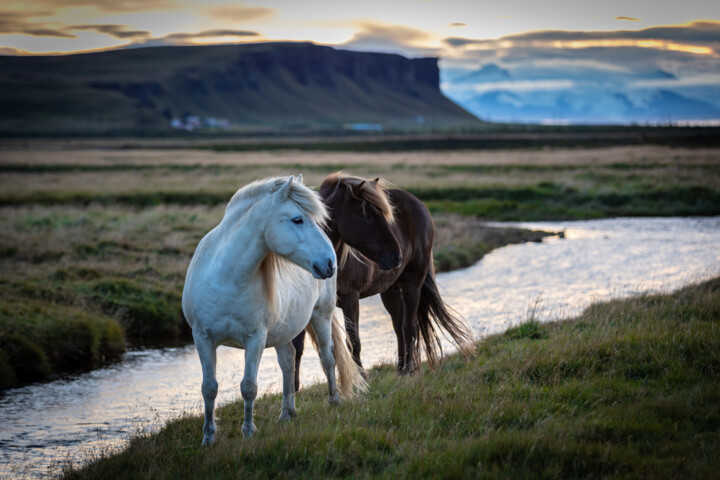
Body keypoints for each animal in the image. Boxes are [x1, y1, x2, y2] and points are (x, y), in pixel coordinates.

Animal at [183, 174, 368, 444]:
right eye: (297, 219)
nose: (329, 263)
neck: (225, 277)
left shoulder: (255, 339)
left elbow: (249, 386)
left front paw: (248, 432)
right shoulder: (202, 338)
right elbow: (209, 388)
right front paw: (208, 438)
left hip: (321, 316)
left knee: (327, 358)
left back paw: (334, 401)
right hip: (284, 331)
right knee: (288, 361)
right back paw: (287, 413)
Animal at [292, 173, 472, 390]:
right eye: (365, 214)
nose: (396, 256)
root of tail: (419, 204)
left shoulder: (350, 299)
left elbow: (354, 341)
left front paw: (362, 380)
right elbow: (298, 347)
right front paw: (293, 389)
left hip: (414, 281)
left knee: (409, 326)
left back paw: (408, 371)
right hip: (390, 290)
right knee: (398, 326)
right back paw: (402, 370)